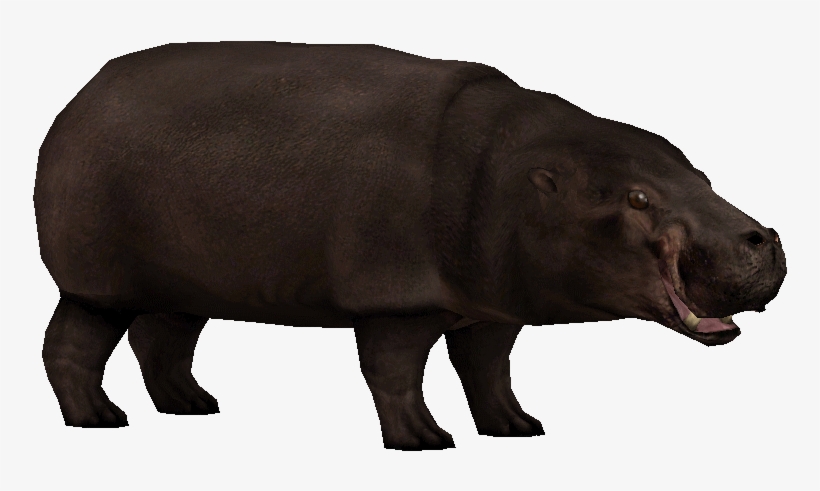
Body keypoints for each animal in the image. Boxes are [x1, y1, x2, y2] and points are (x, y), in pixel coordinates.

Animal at [34, 42, 786, 450]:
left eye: (700, 174)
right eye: (636, 198)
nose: (764, 236)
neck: (518, 175)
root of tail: (80, 97)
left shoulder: (492, 308)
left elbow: (489, 371)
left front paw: (519, 427)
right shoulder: (396, 299)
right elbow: (395, 373)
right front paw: (427, 441)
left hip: (182, 281)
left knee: (163, 340)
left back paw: (193, 405)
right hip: (97, 281)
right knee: (71, 345)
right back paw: (100, 421)